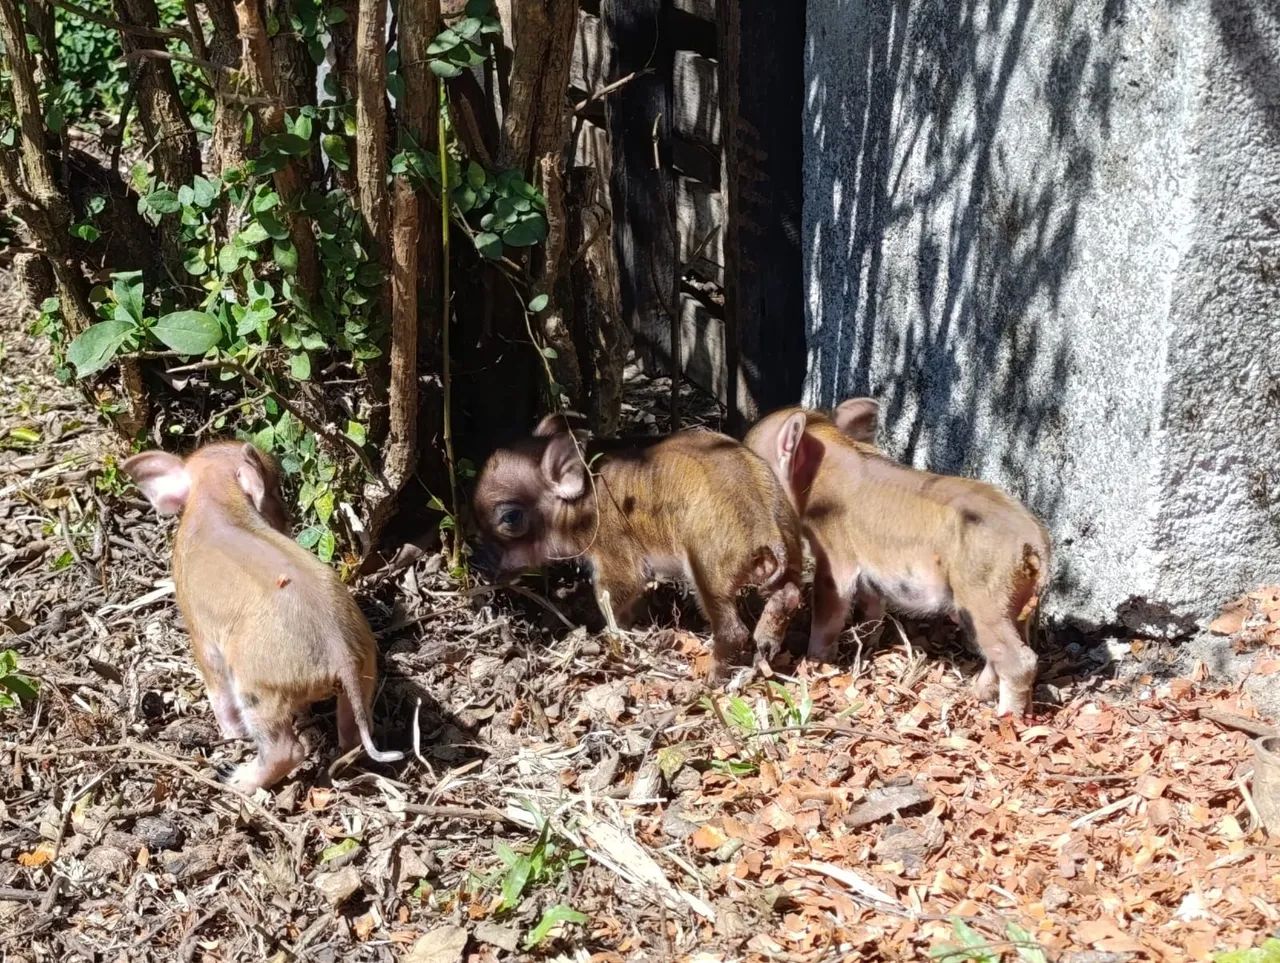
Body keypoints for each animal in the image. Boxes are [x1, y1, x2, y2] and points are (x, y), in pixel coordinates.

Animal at [122, 440, 403, 792]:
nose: (286, 516)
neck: (216, 500)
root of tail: (341, 654)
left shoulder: (201, 634)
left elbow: (216, 690)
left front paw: (231, 736)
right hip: (365, 670)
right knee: (353, 734)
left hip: (258, 688)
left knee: (287, 749)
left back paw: (236, 779)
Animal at [471, 415, 803, 680]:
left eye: (510, 518)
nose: (481, 567)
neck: (584, 504)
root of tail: (766, 530)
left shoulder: (617, 561)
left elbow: (613, 601)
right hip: (789, 557)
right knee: (788, 596)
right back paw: (765, 648)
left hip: (709, 574)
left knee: (733, 631)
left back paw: (710, 678)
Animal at [745, 399, 1050, 716]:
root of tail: (1034, 542)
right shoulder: (870, 577)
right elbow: (872, 608)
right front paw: (867, 645)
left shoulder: (836, 558)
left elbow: (829, 608)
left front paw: (816, 659)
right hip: (1012, 607)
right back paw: (979, 694)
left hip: (983, 602)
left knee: (1020, 661)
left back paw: (1005, 716)